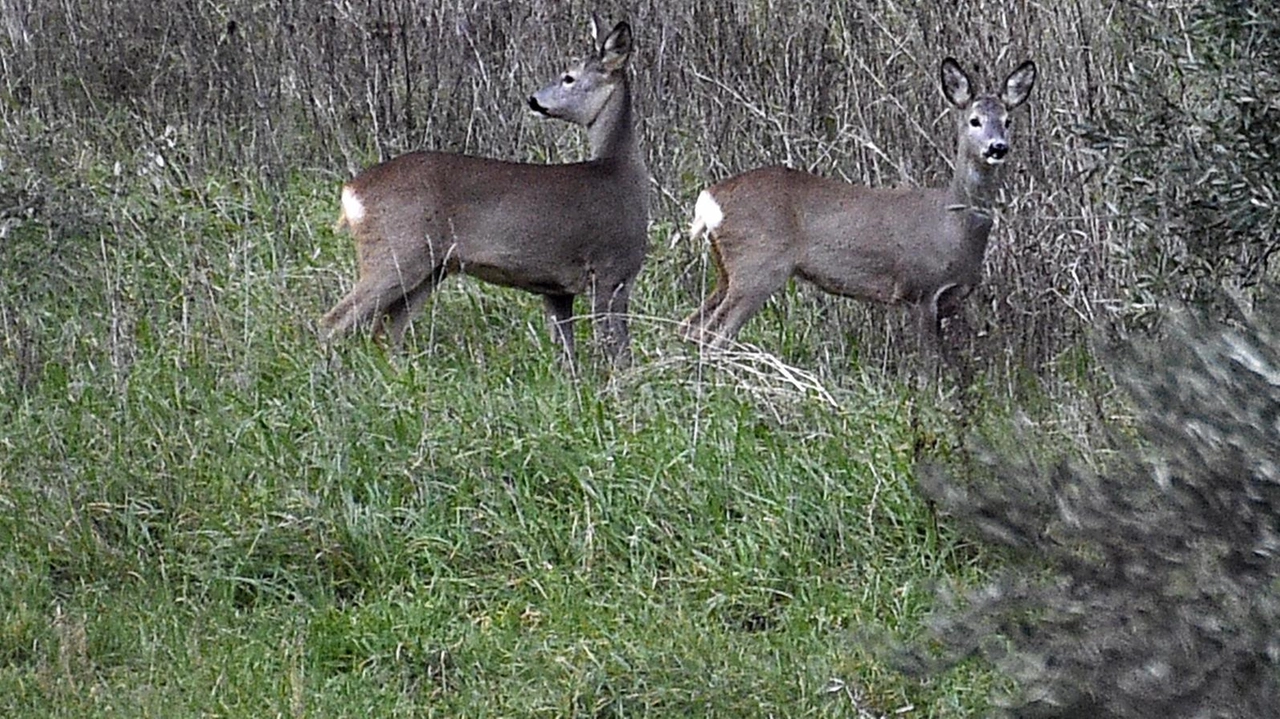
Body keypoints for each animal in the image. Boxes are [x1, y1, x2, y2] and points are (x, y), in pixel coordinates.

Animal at [314, 18, 645, 363]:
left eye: (569, 77)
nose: (533, 100)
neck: (620, 173)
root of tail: (351, 191)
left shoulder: (556, 289)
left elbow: (567, 355)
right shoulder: (612, 271)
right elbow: (618, 350)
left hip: (430, 269)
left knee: (387, 329)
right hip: (396, 251)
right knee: (333, 321)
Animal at [680, 55, 1029, 358]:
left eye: (1008, 120)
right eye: (974, 120)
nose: (997, 147)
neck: (953, 224)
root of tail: (710, 197)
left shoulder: (946, 302)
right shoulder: (919, 289)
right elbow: (929, 370)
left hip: (727, 269)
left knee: (690, 326)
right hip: (757, 265)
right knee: (713, 337)